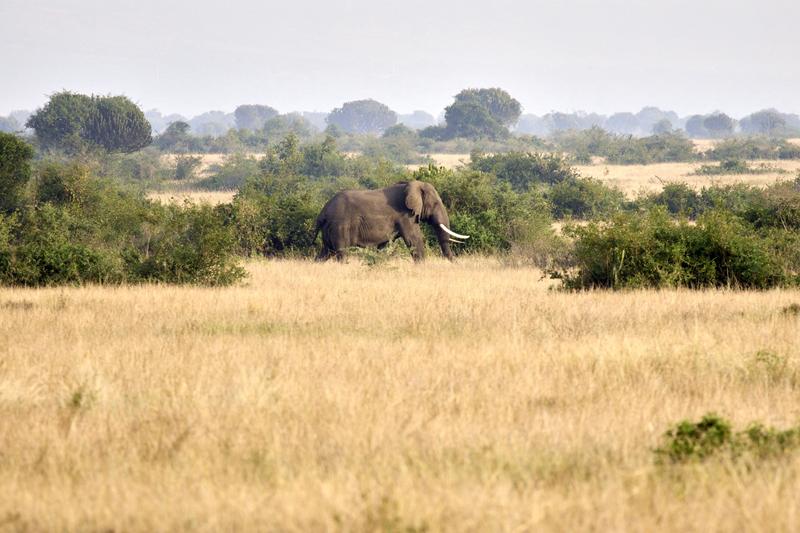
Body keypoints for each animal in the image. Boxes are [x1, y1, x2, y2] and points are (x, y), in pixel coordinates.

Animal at [314, 180, 468, 260]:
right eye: (436, 203)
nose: (456, 263)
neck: (411, 184)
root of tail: (323, 212)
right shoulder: (405, 215)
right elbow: (414, 239)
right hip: (340, 226)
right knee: (341, 252)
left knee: (325, 253)